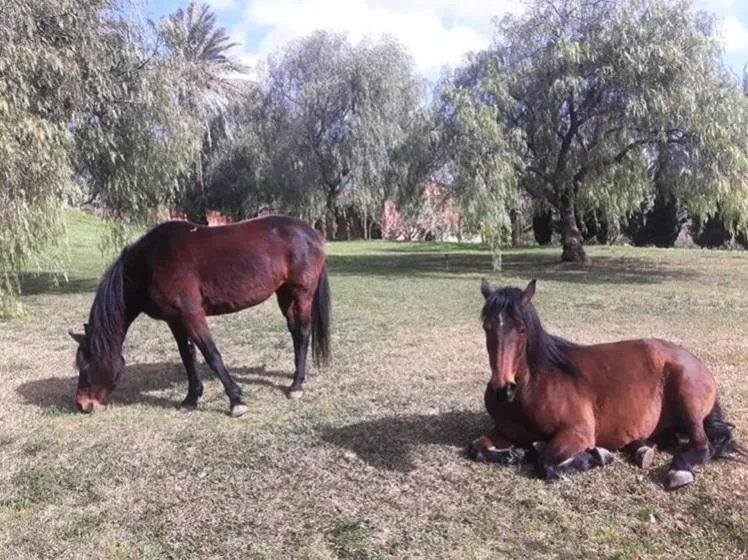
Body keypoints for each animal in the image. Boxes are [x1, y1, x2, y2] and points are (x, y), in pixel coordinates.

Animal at [68, 214, 331, 417]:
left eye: (86, 365)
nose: (82, 405)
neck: (149, 264)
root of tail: (313, 233)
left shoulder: (192, 314)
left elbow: (211, 355)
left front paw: (236, 401)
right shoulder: (175, 320)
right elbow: (188, 357)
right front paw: (191, 399)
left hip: (301, 294)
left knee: (303, 333)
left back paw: (296, 385)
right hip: (284, 295)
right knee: (295, 332)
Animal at [468, 279, 743, 490]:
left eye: (522, 329)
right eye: (486, 327)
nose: (503, 389)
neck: (533, 386)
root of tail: (695, 361)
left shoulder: (577, 432)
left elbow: (545, 464)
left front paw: (597, 455)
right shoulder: (505, 432)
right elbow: (476, 447)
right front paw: (522, 451)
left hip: (688, 399)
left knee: (703, 446)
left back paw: (678, 469)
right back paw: (642, 449)